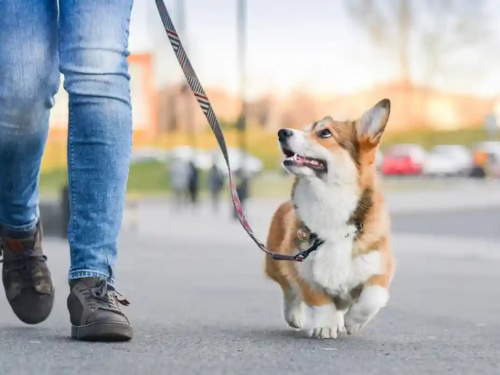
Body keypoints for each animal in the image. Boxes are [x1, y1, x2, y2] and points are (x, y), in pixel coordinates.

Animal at [266, 98, 394, 340]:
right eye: (305, 128)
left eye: (324, 133)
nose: (282, 132)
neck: (329, 203)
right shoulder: (303, 269)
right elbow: (320, 302)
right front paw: (325, 326)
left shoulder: (380, 268)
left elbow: (371, 298)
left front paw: (353, 322)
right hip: (276, 263)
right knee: (289, 291)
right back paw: (295, 316)